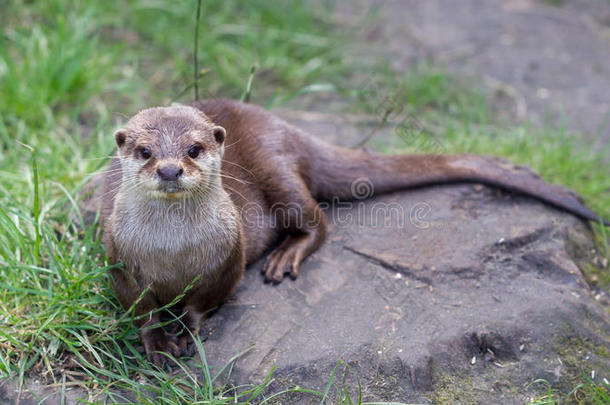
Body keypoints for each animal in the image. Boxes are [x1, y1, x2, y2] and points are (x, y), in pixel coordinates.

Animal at [97, 98, 604, 362]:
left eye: (195, 149)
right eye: (145, 151)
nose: (169, 169)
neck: (174, 253)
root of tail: (285, 126)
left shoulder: (229, 255)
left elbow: (209, 298)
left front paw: (188, 329)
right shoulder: (118, 256)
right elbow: (138, 308)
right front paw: (158, 341)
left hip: (276, 168)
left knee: (318, 222)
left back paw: (286, 256)